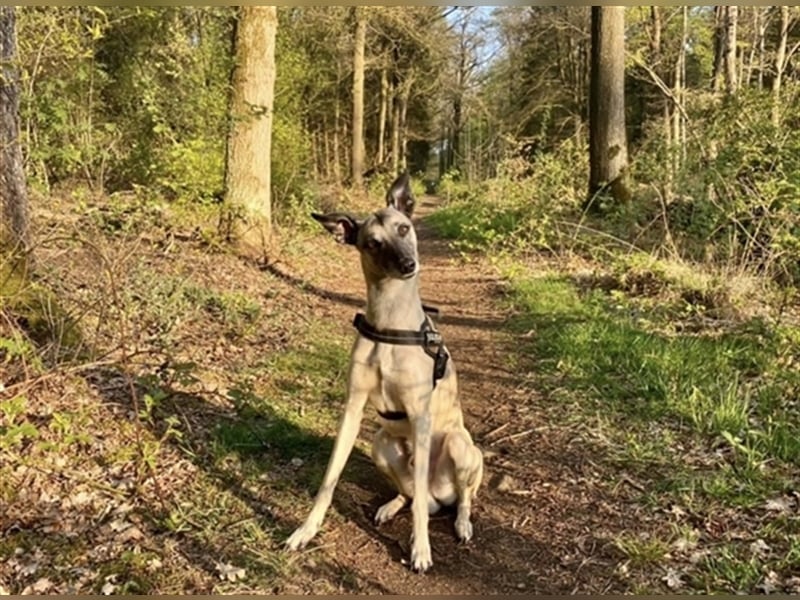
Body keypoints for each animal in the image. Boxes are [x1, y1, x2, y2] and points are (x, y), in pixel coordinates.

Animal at [284, 172, 484, 572]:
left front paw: (420, 550)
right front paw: (306, 531)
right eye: (373, 243)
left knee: (457, 498)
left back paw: (461, 523)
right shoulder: (353, 407)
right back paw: (391, 506)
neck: (390, 324)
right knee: (413, 495)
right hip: (381, 444)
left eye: (404, 228)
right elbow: (328, 480)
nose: (408, 264)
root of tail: (442, 494)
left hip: (460, 446)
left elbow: (423, 508)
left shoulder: (420, 414)